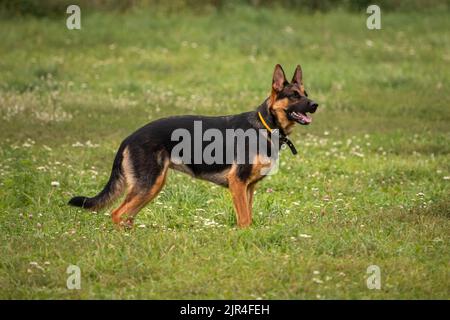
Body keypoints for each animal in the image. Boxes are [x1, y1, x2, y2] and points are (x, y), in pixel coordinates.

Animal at [68, 63, 318, 226]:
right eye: (294, 95)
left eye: (305, 93)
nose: (315, 104)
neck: (266, 125)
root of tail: (128, 138)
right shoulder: (237, 184)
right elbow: (244, 220)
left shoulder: (248, 188)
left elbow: (249, 218)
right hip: (149, 184)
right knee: (117, 214)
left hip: (152, 186)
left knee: (126, 216)